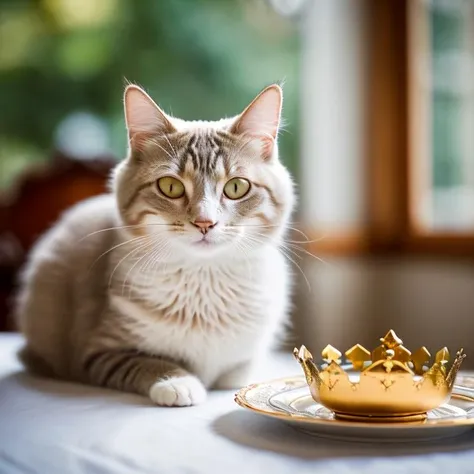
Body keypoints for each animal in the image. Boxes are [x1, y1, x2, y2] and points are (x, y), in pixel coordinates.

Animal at [14, 83, 294, 406]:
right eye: (170, 187)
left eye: (236, 187)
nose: (205, 222)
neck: (203, 285)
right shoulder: (97, 351)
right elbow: (147, 361)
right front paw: (176, 381)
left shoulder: (244, 360)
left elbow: (237, 373)